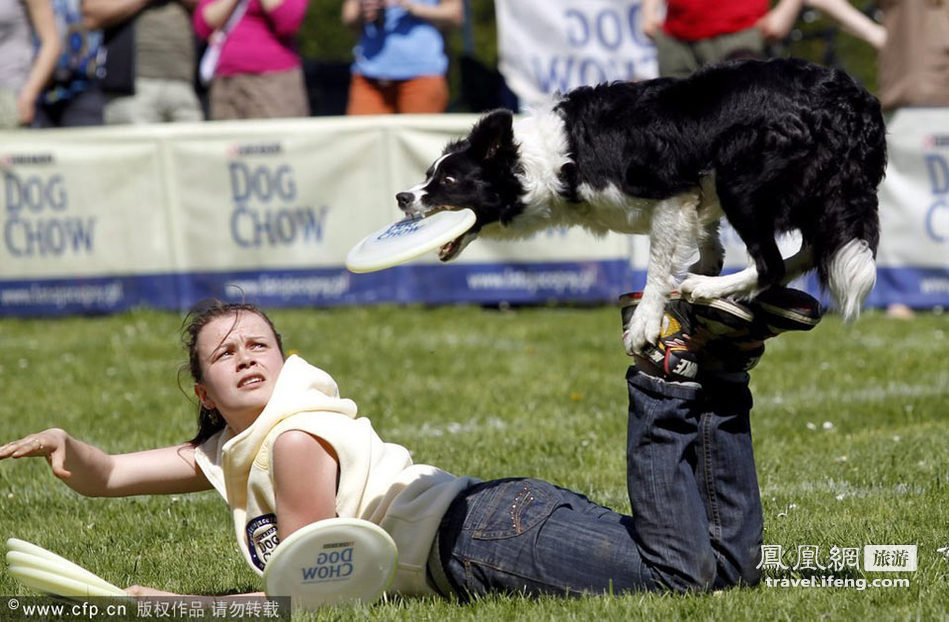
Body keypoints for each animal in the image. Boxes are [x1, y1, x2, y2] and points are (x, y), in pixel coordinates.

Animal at [396, 58, 884, 356]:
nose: (403, 198)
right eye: (428, 175)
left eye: (449, 182)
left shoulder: (670, 195)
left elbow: (657, 268)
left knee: (773, 262)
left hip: (741, 181)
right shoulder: (695, 199)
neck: (552, 159)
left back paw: (709, 289)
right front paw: (704, 265)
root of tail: (852, 101)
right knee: (812, 249)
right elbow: (705, 241)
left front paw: (649, 320)